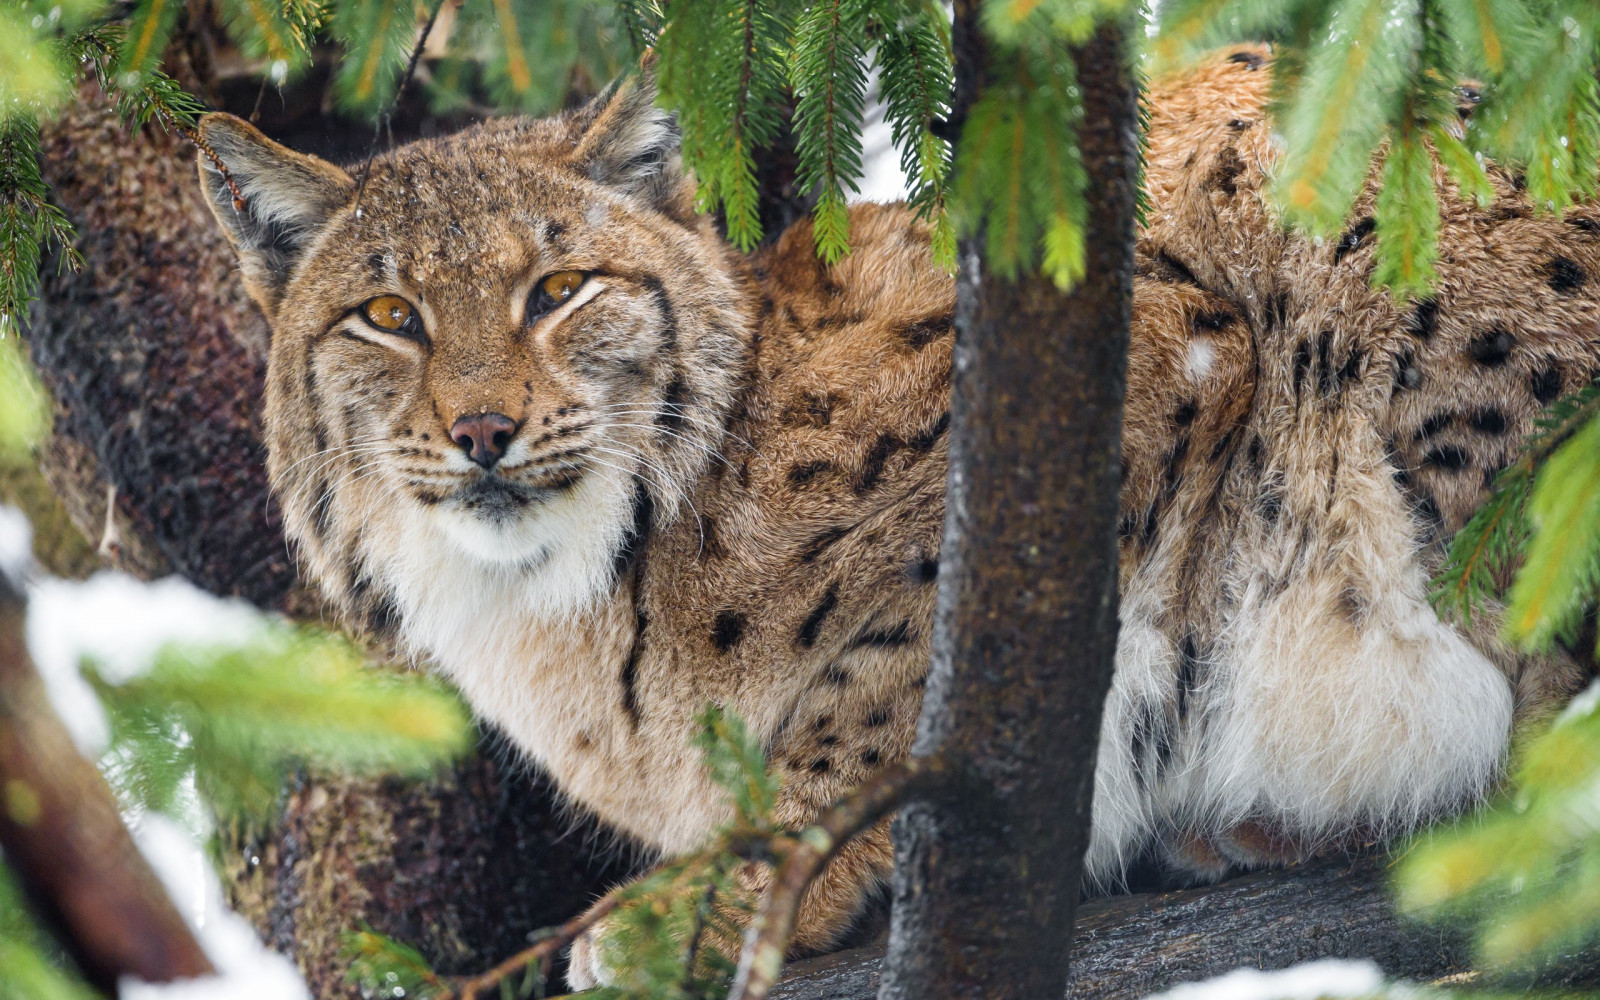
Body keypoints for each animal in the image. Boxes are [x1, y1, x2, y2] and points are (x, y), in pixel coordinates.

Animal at [196, 44, 1596, 987]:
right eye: (388, 317)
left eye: (558, 290)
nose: (484, 431)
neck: (562, 579)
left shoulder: (1155, 344)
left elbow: (891, 681)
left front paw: (731, 888)